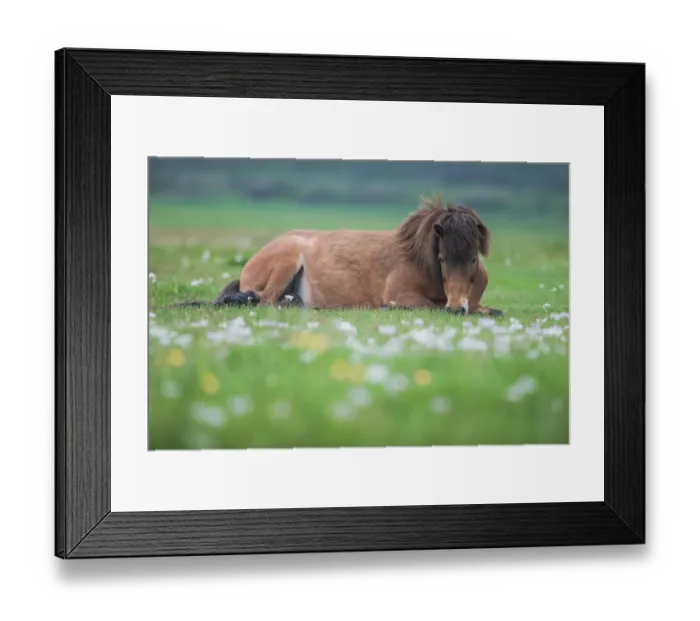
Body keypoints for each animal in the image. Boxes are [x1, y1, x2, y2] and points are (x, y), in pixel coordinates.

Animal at [193, 198, 502, 316]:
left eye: (473, 259)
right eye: (442, 259)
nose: (456, 307)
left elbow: (493, 312)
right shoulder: (402, 295)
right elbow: (427, 307)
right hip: (287, 260)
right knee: (267, 301)